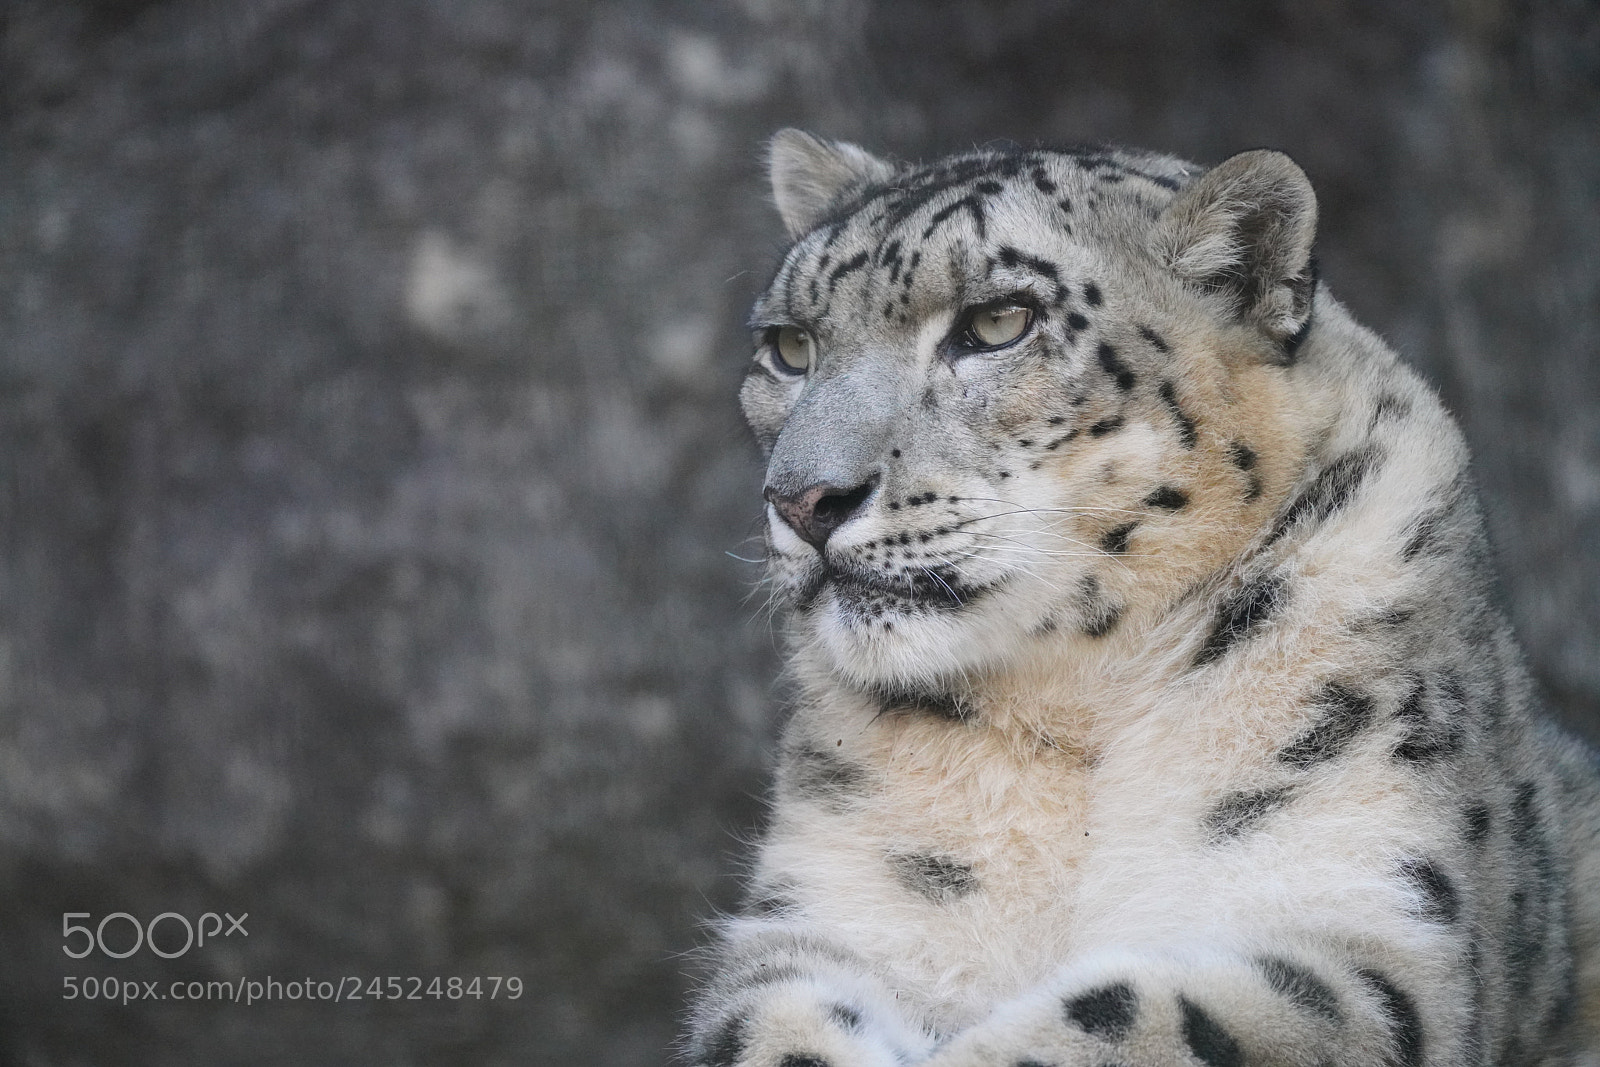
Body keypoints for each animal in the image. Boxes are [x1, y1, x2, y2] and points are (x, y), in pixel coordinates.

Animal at [681, 129, 1600, 1067]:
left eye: (997, 323)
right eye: (790, 346)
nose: (802, 499)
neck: (1075, 711)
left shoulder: (1368, 924)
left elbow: (1136, 1018)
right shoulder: (832, 920)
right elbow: (771, 1030)